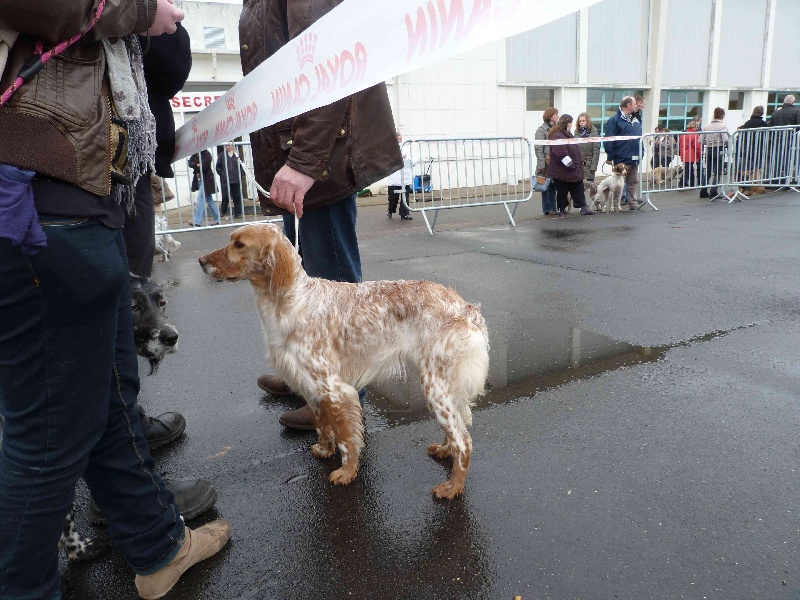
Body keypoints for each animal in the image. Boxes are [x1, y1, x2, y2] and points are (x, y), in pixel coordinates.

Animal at [198, 223, 488, 500]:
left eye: (239, 244)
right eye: (231, 240)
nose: (201, 261)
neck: (291, 300)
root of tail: (467, 308)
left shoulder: (335, 389)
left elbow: (347, 439)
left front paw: (346, 472)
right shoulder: (311, 386)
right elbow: (322, 425)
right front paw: (324, 449)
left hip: (435, 386)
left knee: (464, 440)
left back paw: (452, 487)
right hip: (444, 386)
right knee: (457, 430)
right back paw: (444, 449)